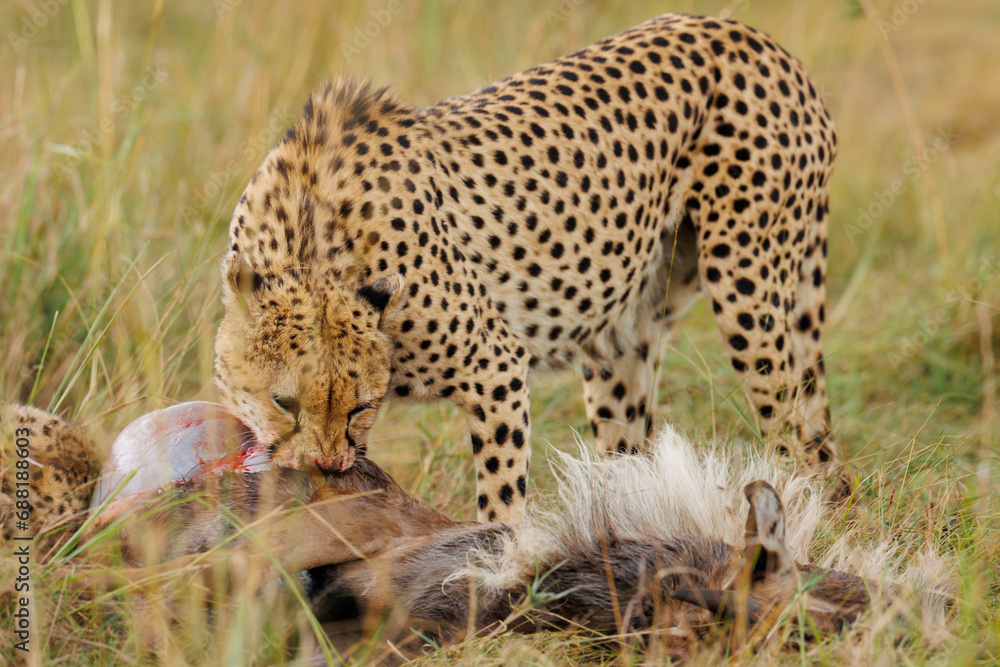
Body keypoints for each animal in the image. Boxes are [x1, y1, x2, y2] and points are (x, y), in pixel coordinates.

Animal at [214, 13, 841, 525]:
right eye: (283, 402)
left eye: (362, 406)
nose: (326, 466)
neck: (313, 246)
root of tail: (753, 37)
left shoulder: (495, 367)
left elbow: (501, 499)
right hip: (623, 337)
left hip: (746, 292)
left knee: (796, 442)